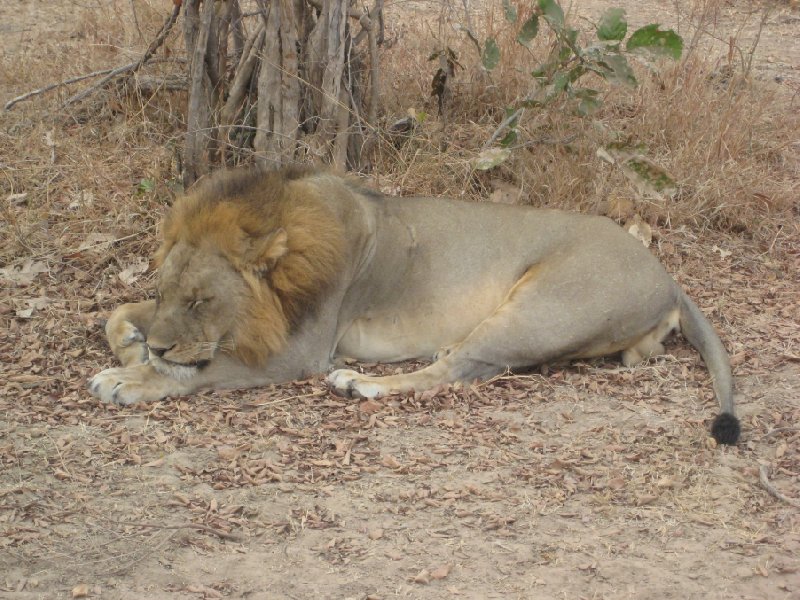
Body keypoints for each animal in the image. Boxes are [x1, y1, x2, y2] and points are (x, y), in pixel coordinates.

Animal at [90, 166, 740, 442]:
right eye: (164, 292)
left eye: (202, 300)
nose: (160, 345)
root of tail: (665, 274)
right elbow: (115, 312)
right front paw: (133, 345)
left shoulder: (299, 352)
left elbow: (204, 370)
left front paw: (132, 377)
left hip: (539, 310)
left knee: (453, 370)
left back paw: (361, 384)